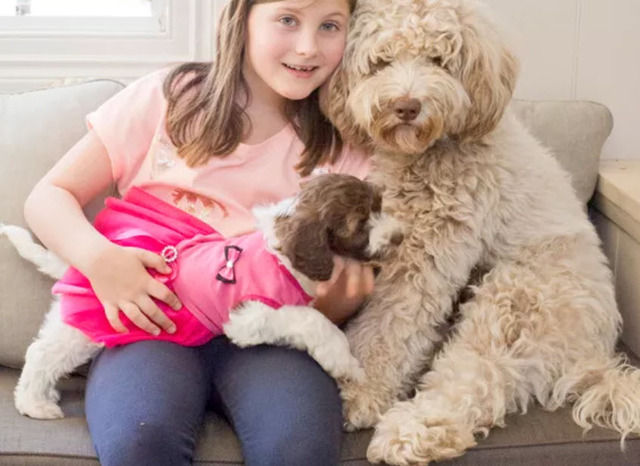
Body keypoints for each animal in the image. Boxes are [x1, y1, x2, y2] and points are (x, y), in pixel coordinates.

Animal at [2, 173, 404, 420]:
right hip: (84, 328)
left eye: (379, 206)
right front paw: (346, 363)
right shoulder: (249, 316)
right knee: (42, 354)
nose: (399, 237)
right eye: (359, 223)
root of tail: (81, 266)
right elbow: (313, 320)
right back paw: (34, 403)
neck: (283, 255)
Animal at [321, 0, 640, 464]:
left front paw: (359, 391)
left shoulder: (427, 253)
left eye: (438, 59)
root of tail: (593, 355)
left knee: (479, 377)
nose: (406, 106)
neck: (426, 154)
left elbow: (388, 327)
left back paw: (414, 432)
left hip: (518, 299)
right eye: (381, 62)